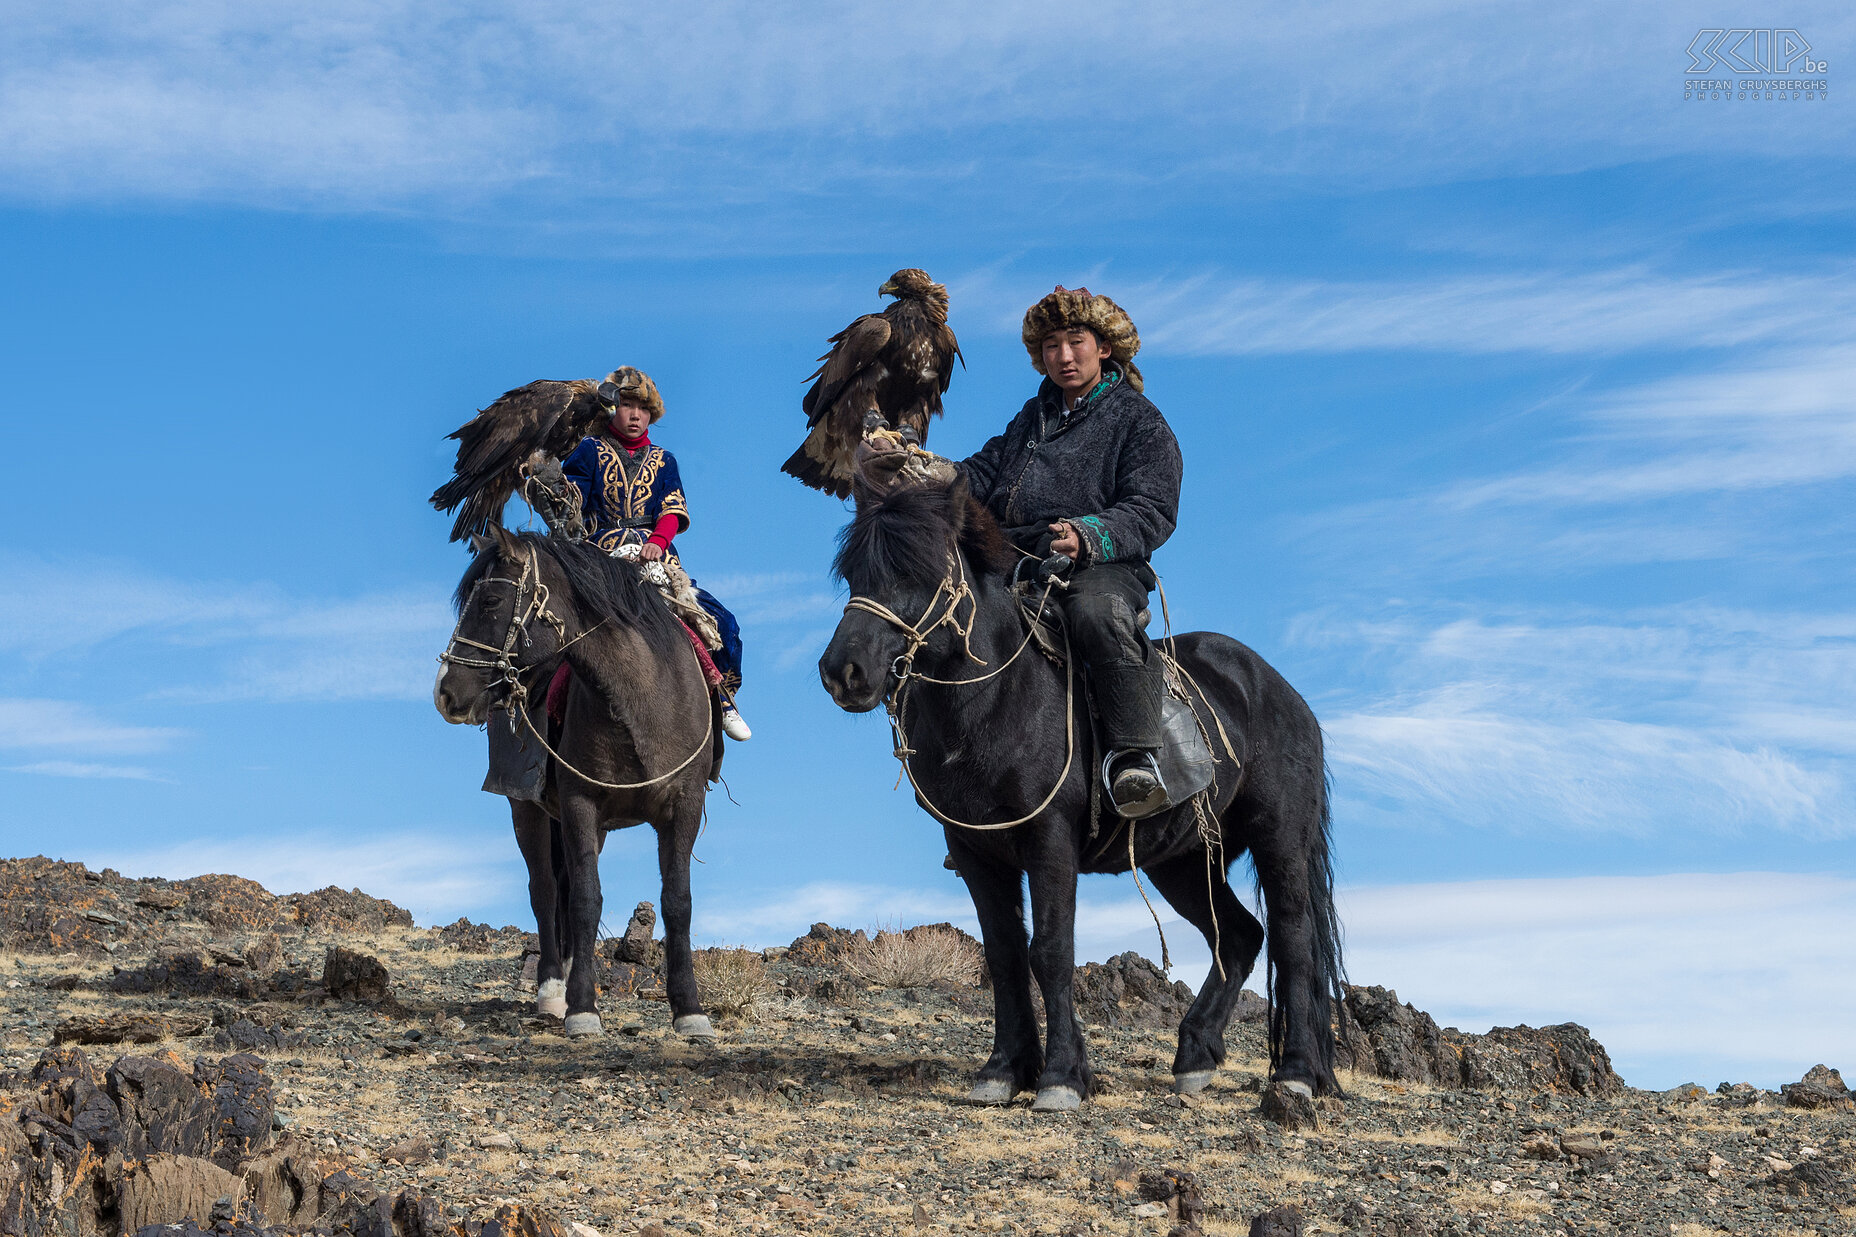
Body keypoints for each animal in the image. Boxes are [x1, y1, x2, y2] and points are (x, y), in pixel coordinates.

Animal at [436, 523, 723, 1032]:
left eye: (490, 601)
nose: (446, 692)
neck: (640, 701)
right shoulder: (579, 805)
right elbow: (586, 900)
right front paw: (583, 1008)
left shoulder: (684, 806)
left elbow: (677, 902)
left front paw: (690, 1011)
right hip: (526, 810)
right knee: (547, 891)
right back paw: (553, 991)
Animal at [820, 475, 1343, 1099]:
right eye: (855, 574)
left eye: (921, 571)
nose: (843, 672)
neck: (997, 700)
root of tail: (1286, 695)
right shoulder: (974, 851)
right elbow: (1003, 956)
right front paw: (1004, 1069)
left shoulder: (1049, 840)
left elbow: (1049, 951)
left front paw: (1062, 1077)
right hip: (1183, 862)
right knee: (1240, 937)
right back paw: (1195, 1056)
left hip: (1279, 839)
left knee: (1293, 941)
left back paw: (1295, 1074)